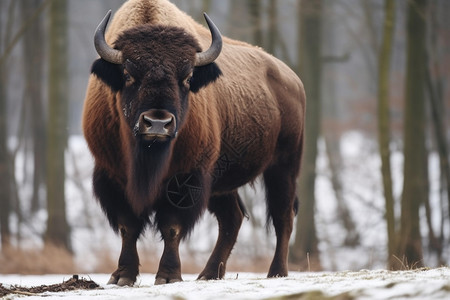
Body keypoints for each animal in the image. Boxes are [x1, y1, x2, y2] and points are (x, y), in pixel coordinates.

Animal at [82, 0, 304, 286]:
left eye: (187, 78)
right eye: (128, 74)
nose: (157, 123)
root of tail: (292, 80)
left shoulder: (187, 178)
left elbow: (172, 227)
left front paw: (168, 276)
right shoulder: (112, 176)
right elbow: (127, 226)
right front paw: (122, 276)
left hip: (283, 167)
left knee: (282, 216)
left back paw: (276, 271)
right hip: (222, 184)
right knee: (232, 219)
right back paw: (209, 274)